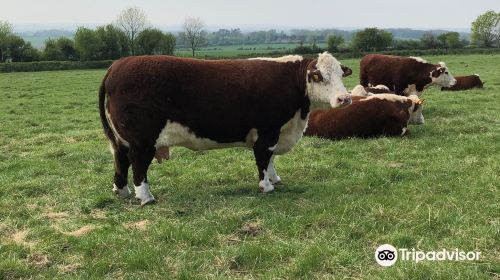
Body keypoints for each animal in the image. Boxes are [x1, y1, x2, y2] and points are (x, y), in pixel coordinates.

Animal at [98, 53, 352, 206]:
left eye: (341, 73)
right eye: (319, 76)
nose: (345, 98)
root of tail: (118, 65)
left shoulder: (275, 133)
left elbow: (270, 159)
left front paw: (275, 178)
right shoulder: (267, 131)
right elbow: (263, 158)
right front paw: (266, 186)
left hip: (124, 140)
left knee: (121, 159)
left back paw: (122, 191)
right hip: (142, 141)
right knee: (138, 164)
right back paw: (146, 197)